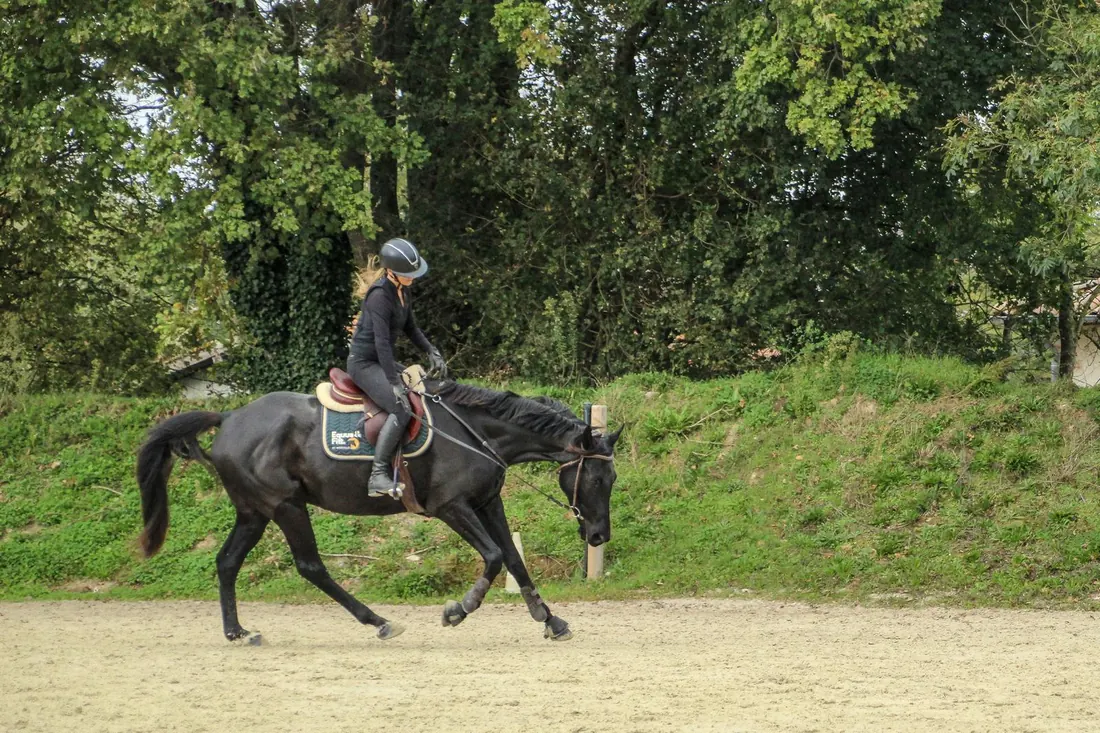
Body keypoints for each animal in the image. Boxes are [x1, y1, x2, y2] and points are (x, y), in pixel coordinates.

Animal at [135, 378, 622, 642]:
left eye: (611, 478)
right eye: (598, 479)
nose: (599, 535)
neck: (478, 433)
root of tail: (230, 417)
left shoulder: (487, 502)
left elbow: (515, 561)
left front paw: (550, 620)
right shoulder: (451, 507)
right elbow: (495, 556)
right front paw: (458, 610)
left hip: (254, 513)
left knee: (227, 562)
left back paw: (237, 632)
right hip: (286, 506)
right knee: (310, 566)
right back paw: (380, 622)